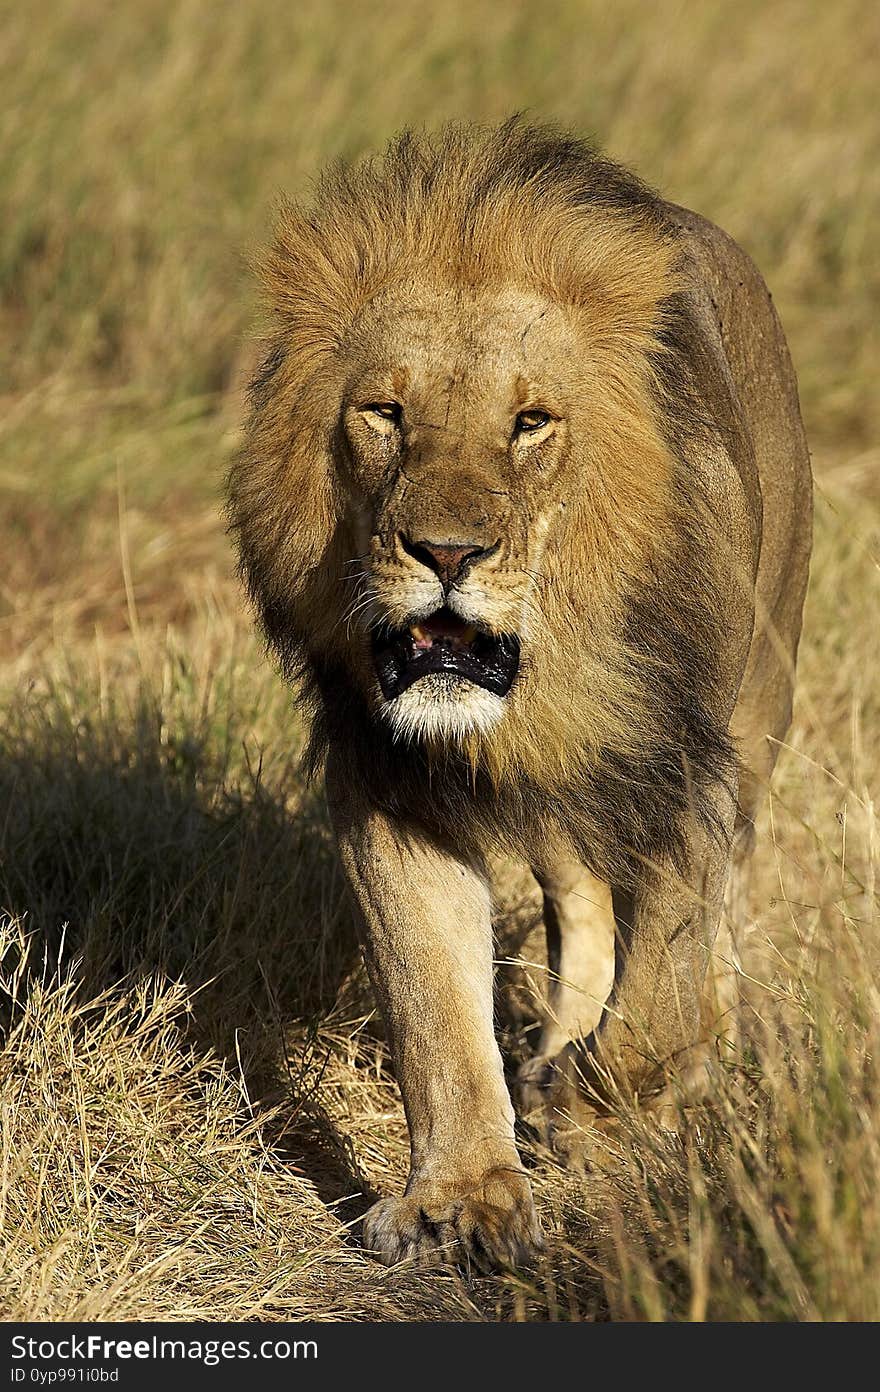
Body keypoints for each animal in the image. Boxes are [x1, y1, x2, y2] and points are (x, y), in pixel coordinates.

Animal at [226, 119, 813, 1275]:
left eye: (531, 423)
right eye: (384, 414)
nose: (446, 553)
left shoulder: (686, 768)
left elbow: (661, 996)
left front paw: (584, 1098)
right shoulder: (389, 783)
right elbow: (434, 1009)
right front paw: (460, 1198)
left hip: (762, 702)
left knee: (707, 916)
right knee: (578, 899)